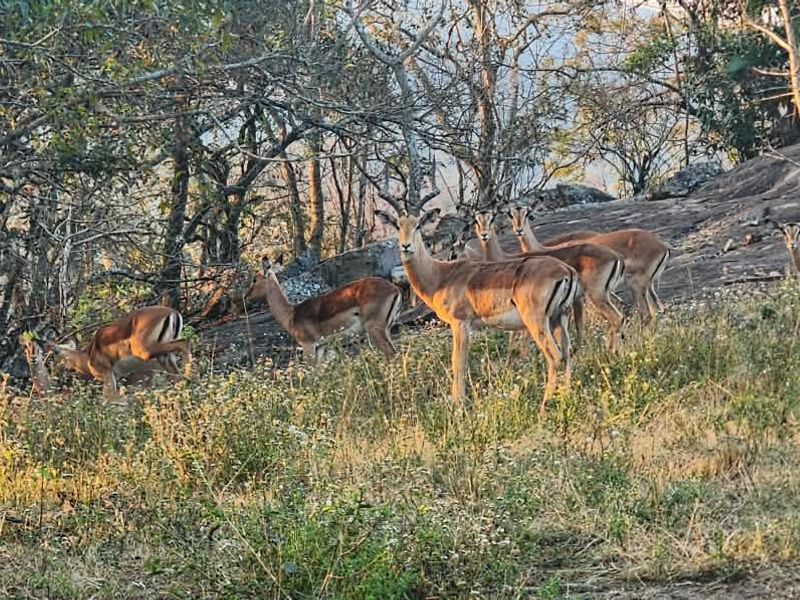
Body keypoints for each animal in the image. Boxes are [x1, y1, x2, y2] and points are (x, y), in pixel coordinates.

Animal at [46, 306, 192, 399]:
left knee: (185, 342)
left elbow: (110, 399)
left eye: (51, 357)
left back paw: (190, 376)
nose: (52, 377)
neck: (88, 356)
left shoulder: (107, 375)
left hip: (146, 351)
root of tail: (173, 313)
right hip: (164, 357)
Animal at [244, 257, 402, 363]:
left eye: (255, 279)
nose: (246, 296)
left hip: (375, 330)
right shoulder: (321, 347)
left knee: (392, 355)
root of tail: (395, 289)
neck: (291, 314)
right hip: (386, 330)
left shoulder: (308, 347)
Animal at [397, 213, 579, 411]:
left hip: (537, 323)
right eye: (398, 225)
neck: (441, 276)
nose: (406, 246)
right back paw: (565, 397)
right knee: (567, 353)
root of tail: (566, 270)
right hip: (559, 319)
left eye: (418, 226)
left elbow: (458, 362)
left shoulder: (460, 324)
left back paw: (544, 406)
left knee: (555, 357)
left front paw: (458, 403)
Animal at [473, 210, 625, 351]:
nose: (484, 235)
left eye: (492, 218)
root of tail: (616, 256)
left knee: (617, 318)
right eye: (476, 219)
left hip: (596, 296)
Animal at [509, 205, 670, 325]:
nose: (519, 230)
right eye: (510, 214)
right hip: (645, 287)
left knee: (647, 314)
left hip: (636, 285)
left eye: (527, 214)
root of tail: (663, 245)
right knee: (656, 310)